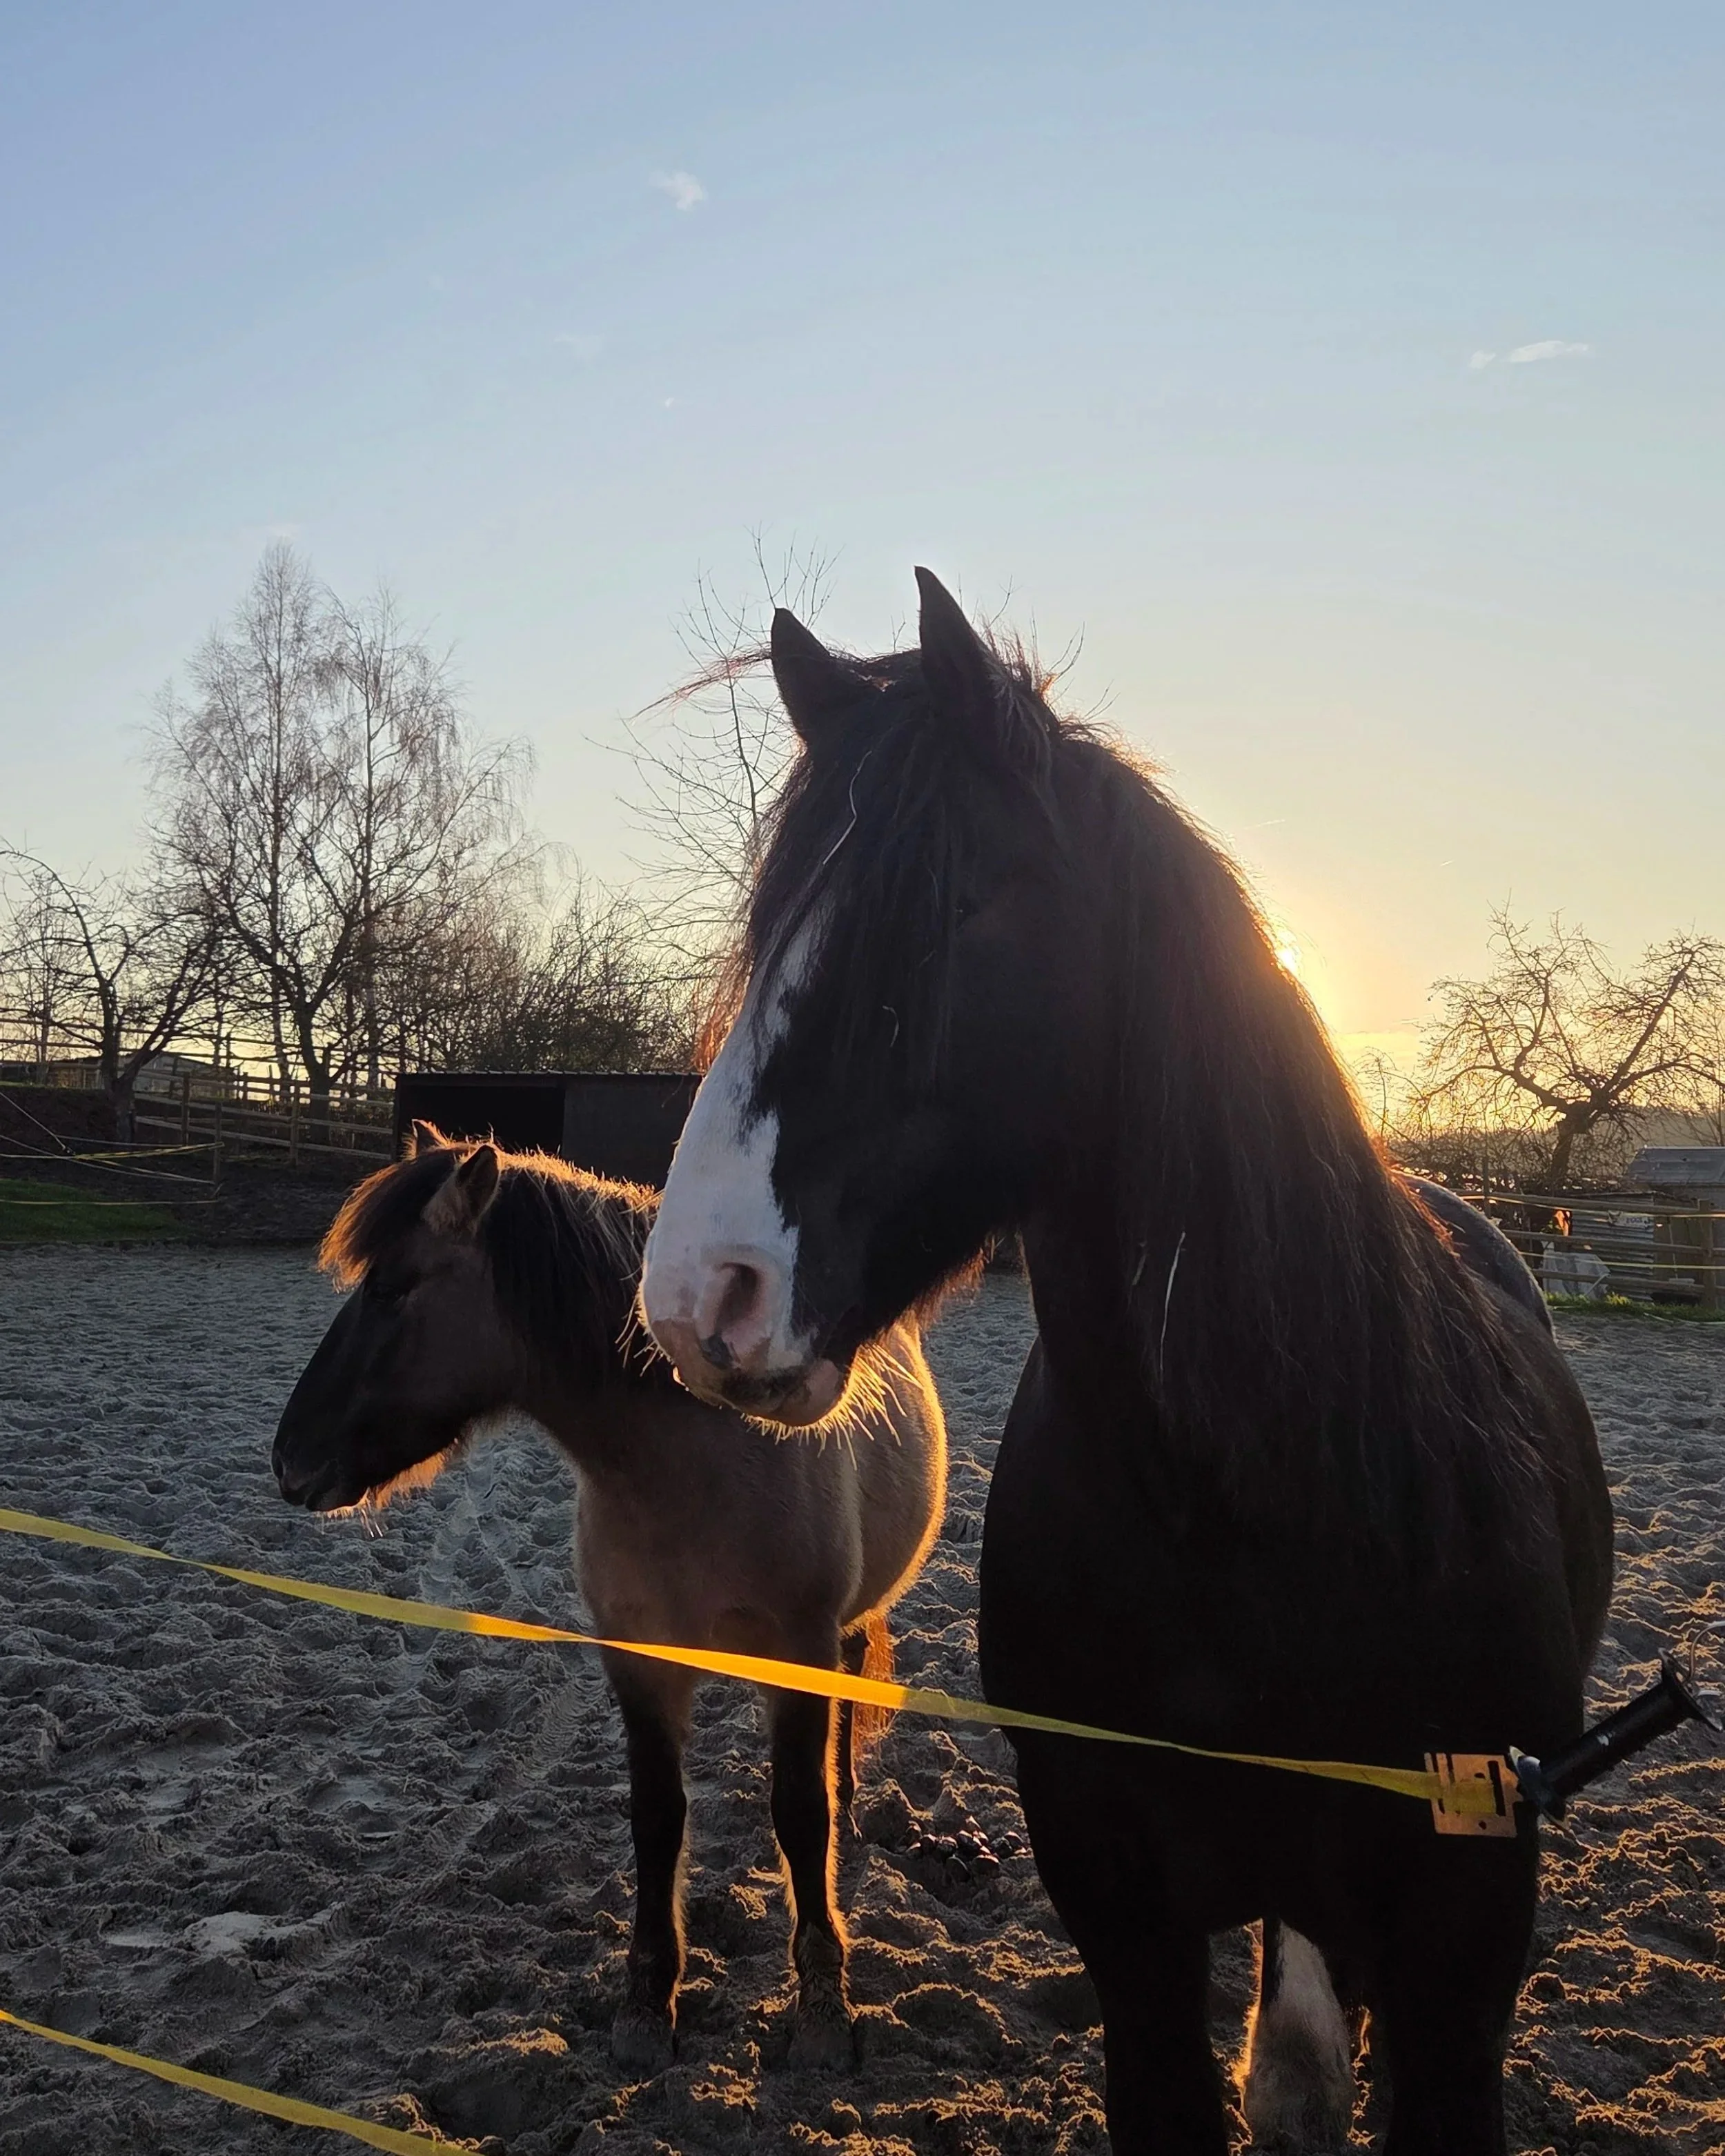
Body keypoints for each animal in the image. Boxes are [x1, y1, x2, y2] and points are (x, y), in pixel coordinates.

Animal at [271, 1124, 946, 2072]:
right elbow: (658, 1818)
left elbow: (800, 1815)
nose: (289, 1458)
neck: (702, 1465)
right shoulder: (640, 1661)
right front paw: (647, 2000)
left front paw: (821, 2005)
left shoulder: (798, 1648)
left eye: (394, 1286)